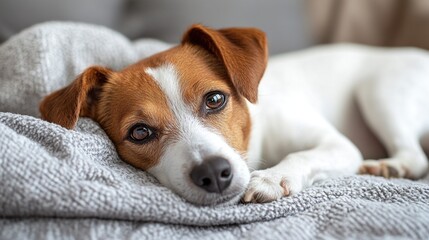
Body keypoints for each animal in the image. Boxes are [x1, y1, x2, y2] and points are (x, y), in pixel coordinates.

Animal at [39, 23, 428, 204]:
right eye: (140, 132)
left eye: (215, 99)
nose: (213, 172)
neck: (257, 139)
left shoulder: (338, 145)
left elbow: (301, 154)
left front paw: (272, 178)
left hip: (379, 91)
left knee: (416, 156)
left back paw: (393, 165)